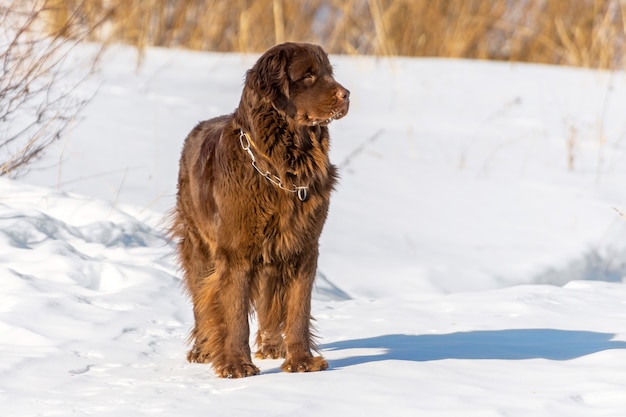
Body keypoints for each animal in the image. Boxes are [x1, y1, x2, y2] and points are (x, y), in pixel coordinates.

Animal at [168, 43, 348, 376]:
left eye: (329, 73)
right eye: (308, 75)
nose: (347, 94)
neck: (280, 168)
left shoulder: (303, 246)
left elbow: (298, 308)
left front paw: (302, 361)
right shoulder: (235, 251)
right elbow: (234, 311)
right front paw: (236, 365)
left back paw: (272, 346)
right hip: (198, 244)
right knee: (201, 297)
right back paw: (202, 349)